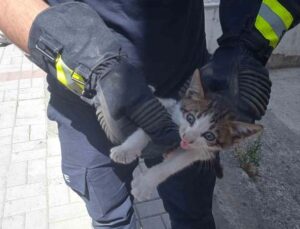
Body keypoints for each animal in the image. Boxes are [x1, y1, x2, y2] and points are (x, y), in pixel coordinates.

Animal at [109, 70, 262, 200]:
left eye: (209, 136)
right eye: (190, 118)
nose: (186, 138)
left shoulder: (203, 150)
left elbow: (175, 163)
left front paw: (144, 184)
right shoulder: (169, 111)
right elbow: (152, 124)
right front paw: (124, 150)